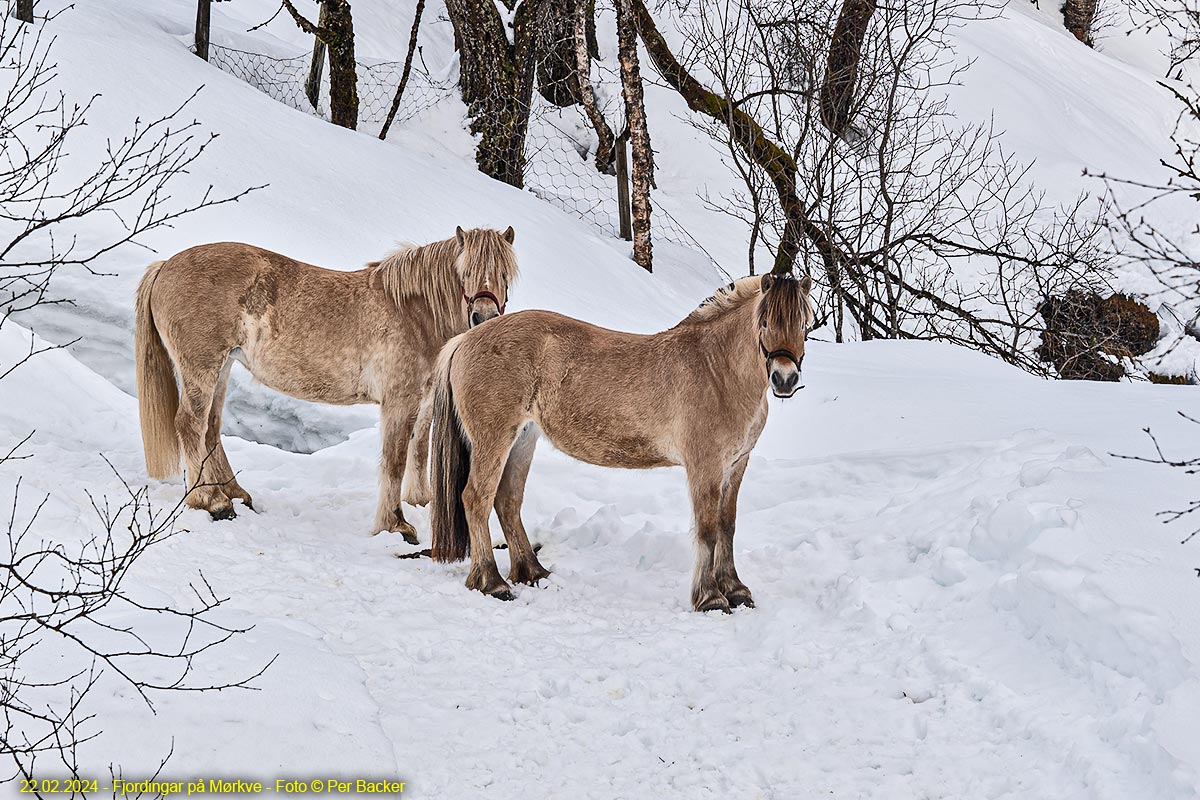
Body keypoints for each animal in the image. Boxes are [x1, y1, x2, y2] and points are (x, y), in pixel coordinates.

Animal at [137, 225, 520, 542]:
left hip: (223, 368)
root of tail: (166, 266)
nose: (483, 318)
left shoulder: (422, 404)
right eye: (464, 272)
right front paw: (395, 525)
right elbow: (394, 461)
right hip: (202, 368)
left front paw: (419, 505)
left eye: (505, 273)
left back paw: (233, 495)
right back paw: (209, 500)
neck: (413, 313)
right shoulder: (399, 401)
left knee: (211, 429)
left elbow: (418, 452)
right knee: (190, 425)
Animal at [427, 275, 811, 614]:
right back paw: (492, 583)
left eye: (805, 325)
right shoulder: (706, 467)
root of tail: (466, 339)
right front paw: (711, 598)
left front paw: (736, 590)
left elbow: (727, 526)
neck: (715, 370)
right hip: (493, 438)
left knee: (506, 500)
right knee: (476, 498)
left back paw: (533, 572)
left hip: (523, 439)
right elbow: (708, 530)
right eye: (765, 323)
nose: (785, 379)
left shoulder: (736, 465)